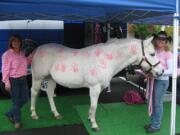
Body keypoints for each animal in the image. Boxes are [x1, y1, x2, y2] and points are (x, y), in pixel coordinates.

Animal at [30, 37, 163, 131]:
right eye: (152, 54)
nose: (161, 71)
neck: (106, 59)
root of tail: (38, 49)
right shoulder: (94, 87)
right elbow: (94, 106)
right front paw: (94, 125)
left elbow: (92, 106)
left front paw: (89, 118)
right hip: (38, 78)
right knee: (34, 92)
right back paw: (34, 114)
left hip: (51, 78)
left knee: (49, 93)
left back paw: (56, 114)